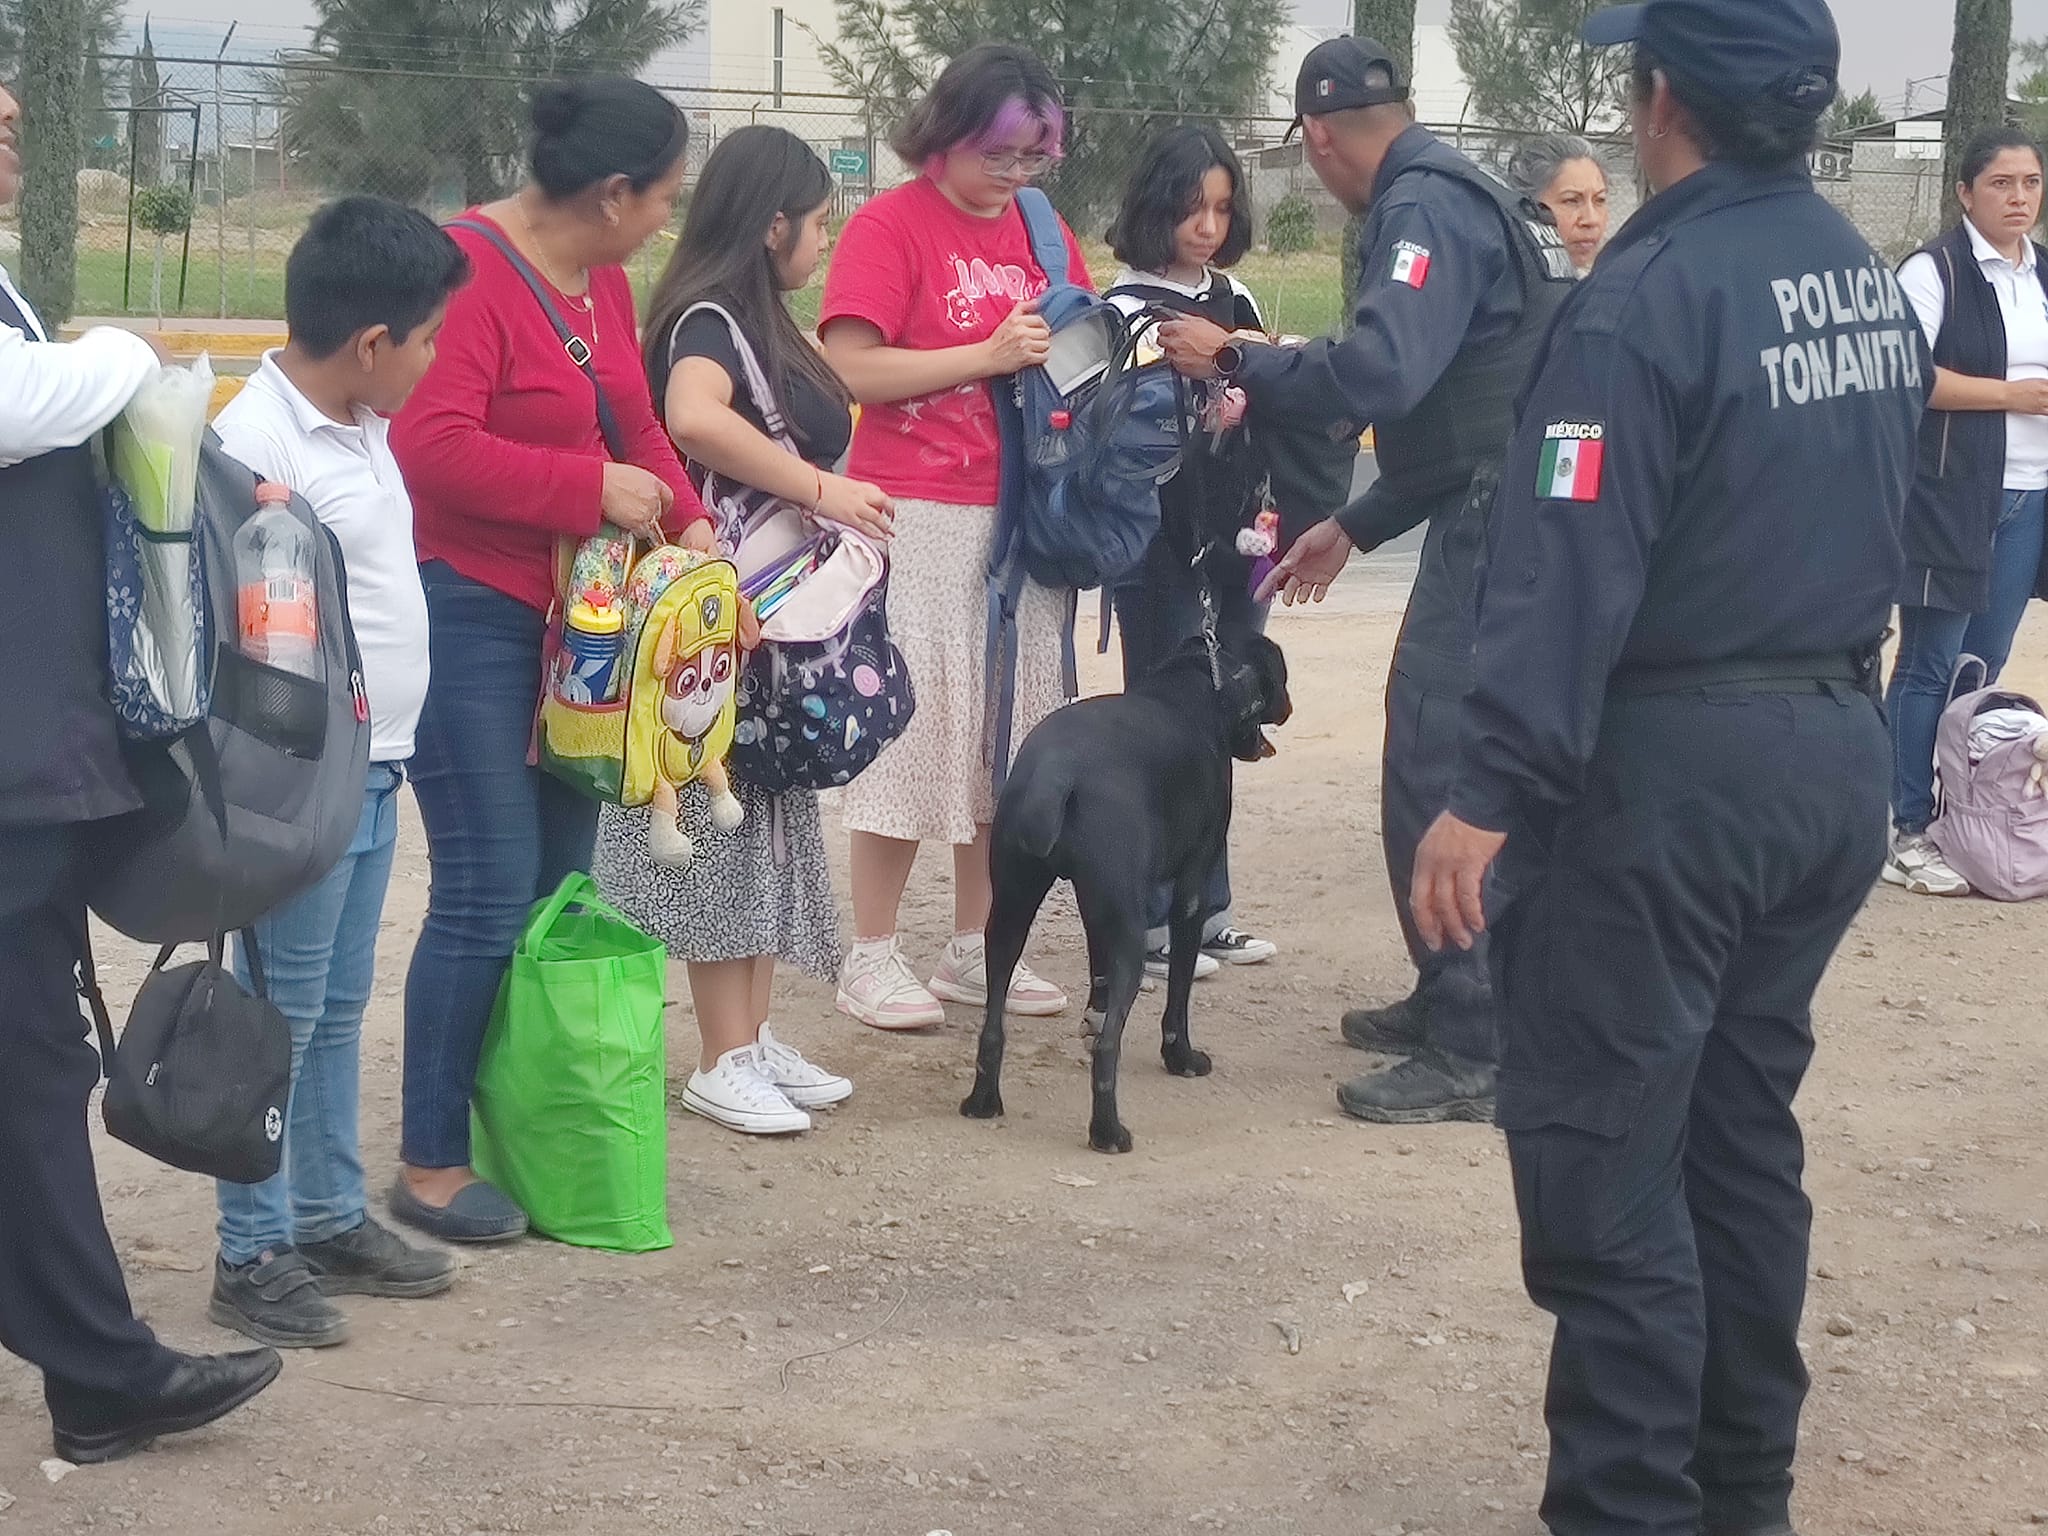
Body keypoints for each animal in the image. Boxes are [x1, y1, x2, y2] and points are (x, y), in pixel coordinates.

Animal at [962, 638, 1286, 1155]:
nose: (1287, 708)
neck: (1198, 688)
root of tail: (1055, 774)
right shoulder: (1190, 893)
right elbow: (1179, 994)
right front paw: (1182, 1057)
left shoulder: (1096, 911)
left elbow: (1097, 979)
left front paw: (1093, 1014)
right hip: (1128, 937)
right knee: (1107, 1048)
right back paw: (1108, 1131)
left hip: (1009, 917)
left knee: (993, 1028)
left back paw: (983, 1100)